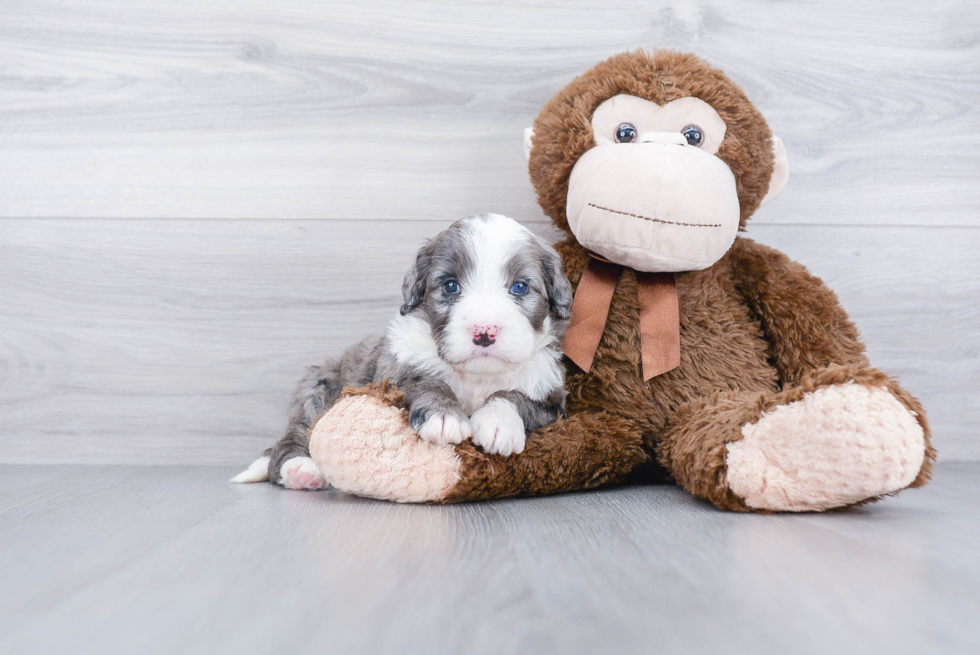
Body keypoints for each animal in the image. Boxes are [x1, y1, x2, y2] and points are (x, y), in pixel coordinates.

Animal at [232, 213, 576, 490]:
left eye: (520, 287)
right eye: (450, 286)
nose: (484, 332)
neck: (476, 376)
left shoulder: (552, 403)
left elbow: (516, 396)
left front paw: (497, 423)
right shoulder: (393, 374)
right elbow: (427, 382)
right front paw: (444, 416)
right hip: (318, 391)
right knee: (291, 440)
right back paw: (301, 470)